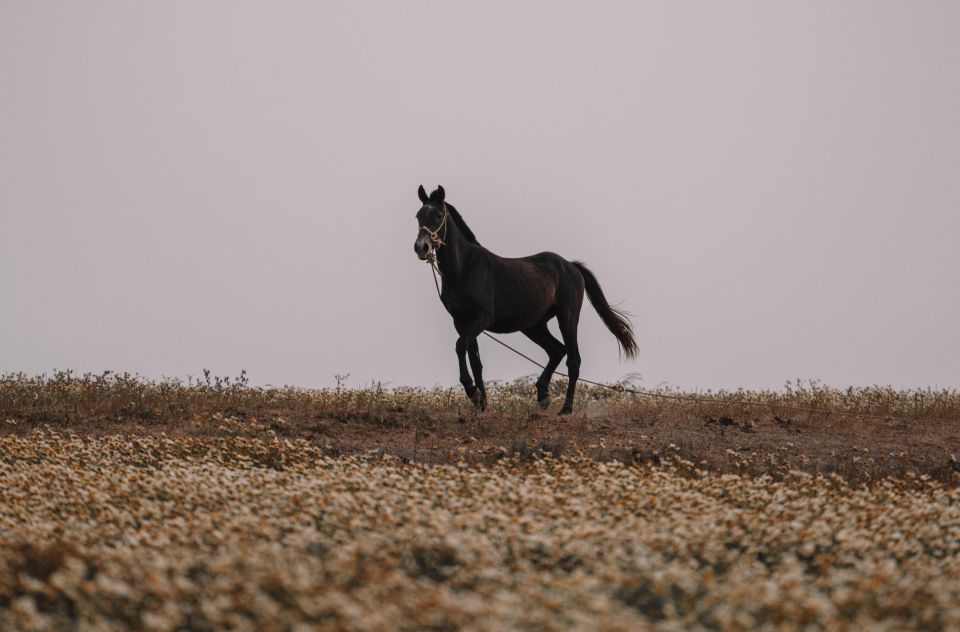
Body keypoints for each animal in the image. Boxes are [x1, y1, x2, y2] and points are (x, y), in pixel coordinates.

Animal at [412, 183, 636, 414]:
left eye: (439, 215)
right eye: (419, 215)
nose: (421, 247)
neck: (464, 268)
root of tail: (572, 266)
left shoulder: (481, 318)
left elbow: (459, 346)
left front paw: (472, 392)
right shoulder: (461, 321)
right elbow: (475, 361)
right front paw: (481, 403)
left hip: (567, 319)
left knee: (573, 360)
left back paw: (565, 408)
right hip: (533, 326)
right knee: (557, 350)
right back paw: (542, 395)